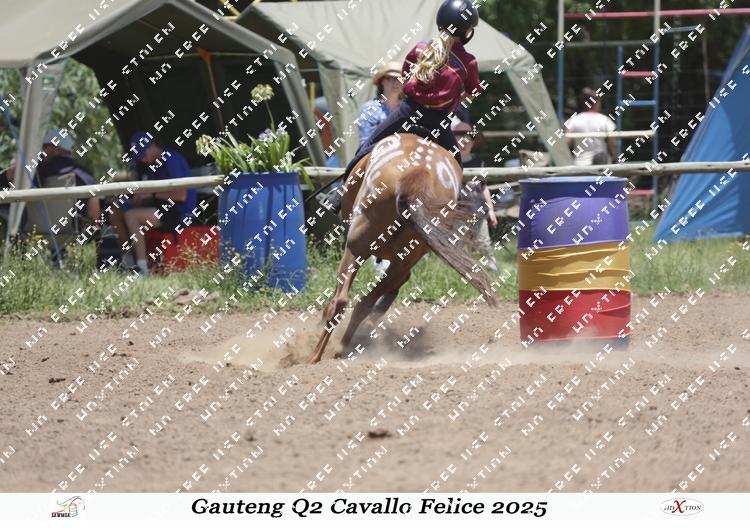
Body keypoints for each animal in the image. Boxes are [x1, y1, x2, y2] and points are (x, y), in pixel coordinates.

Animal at [307, 131, 498, 364]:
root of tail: (417, 172)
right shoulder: (402, 266)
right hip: (403, 259)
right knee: (363, 304)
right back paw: (341, 349)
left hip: (356, 247)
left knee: (341, 301)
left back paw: (314, 356)